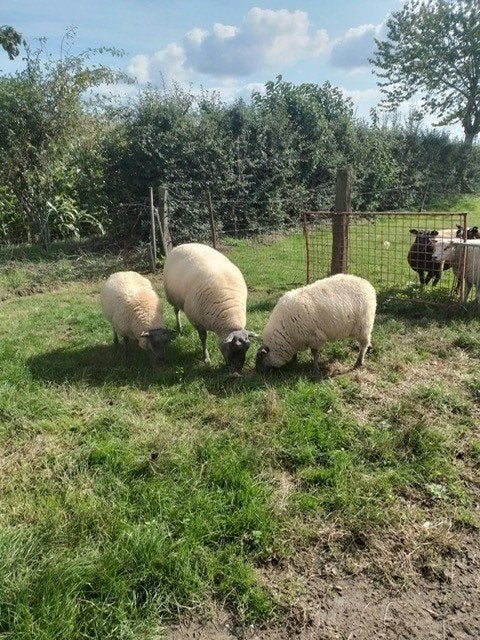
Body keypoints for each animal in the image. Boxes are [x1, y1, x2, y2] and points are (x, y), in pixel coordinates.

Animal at [163, 243, 250, 373]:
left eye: (247, 350)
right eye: (234, 349)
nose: (237, 371)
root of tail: (184, 244)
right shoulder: (196, 320)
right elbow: (203, 338)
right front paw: (206, 358)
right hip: (173, 298)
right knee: (176, 311)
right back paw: (179, 328)